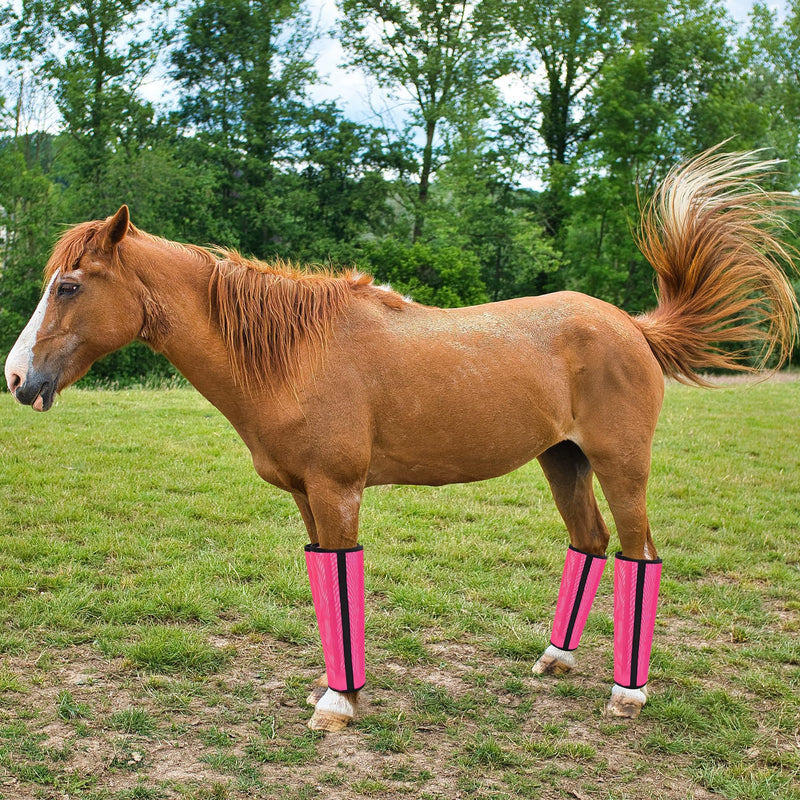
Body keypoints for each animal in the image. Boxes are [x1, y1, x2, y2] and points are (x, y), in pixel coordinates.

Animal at [5, 148, 799, 732]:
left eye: (70, 285)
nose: (16, 376)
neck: (296, 353)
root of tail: (631, 325)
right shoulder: (307, 497)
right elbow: (326, 585)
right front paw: (334, 690)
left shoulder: (337, 491)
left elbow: (344, 577)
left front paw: (339, 704)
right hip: (564, 461)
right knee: (590, 542)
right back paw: (555, 660)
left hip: (620, 465)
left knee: (640, 554)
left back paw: (627, 694)